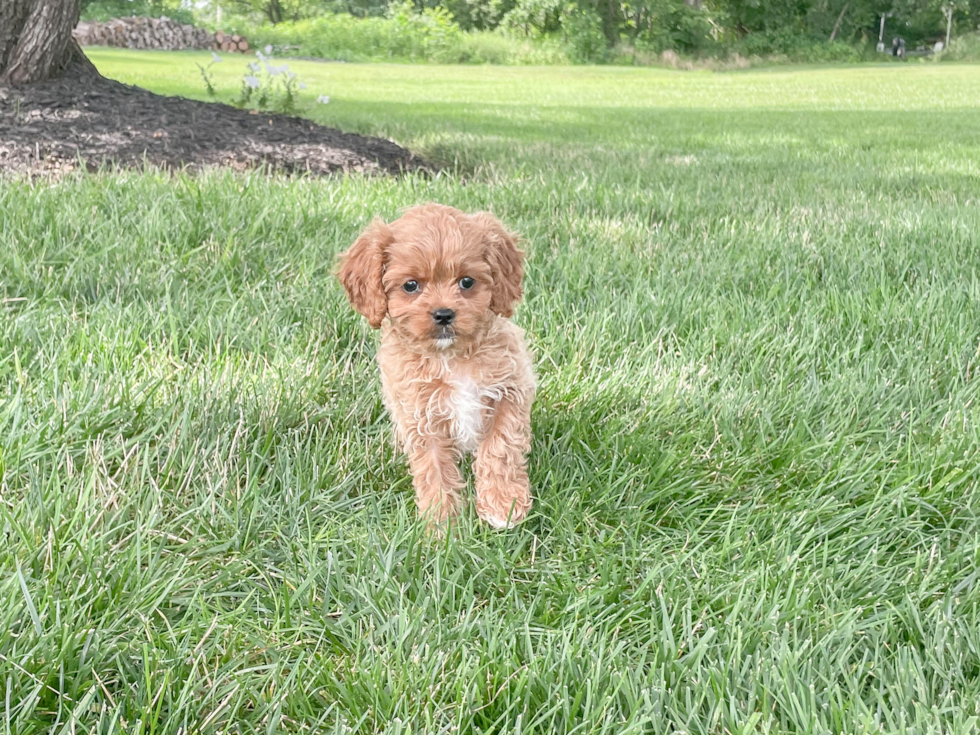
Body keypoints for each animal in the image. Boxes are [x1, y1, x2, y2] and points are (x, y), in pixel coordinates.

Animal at [338, 204, 536, 532]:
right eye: (411, 285)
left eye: (466, 282)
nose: (443, 314)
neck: (449, 357)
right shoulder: (420, 417)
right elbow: (434, 470)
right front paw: (441, 525)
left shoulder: (510, 389)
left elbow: (500, 447)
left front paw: (503, 504)